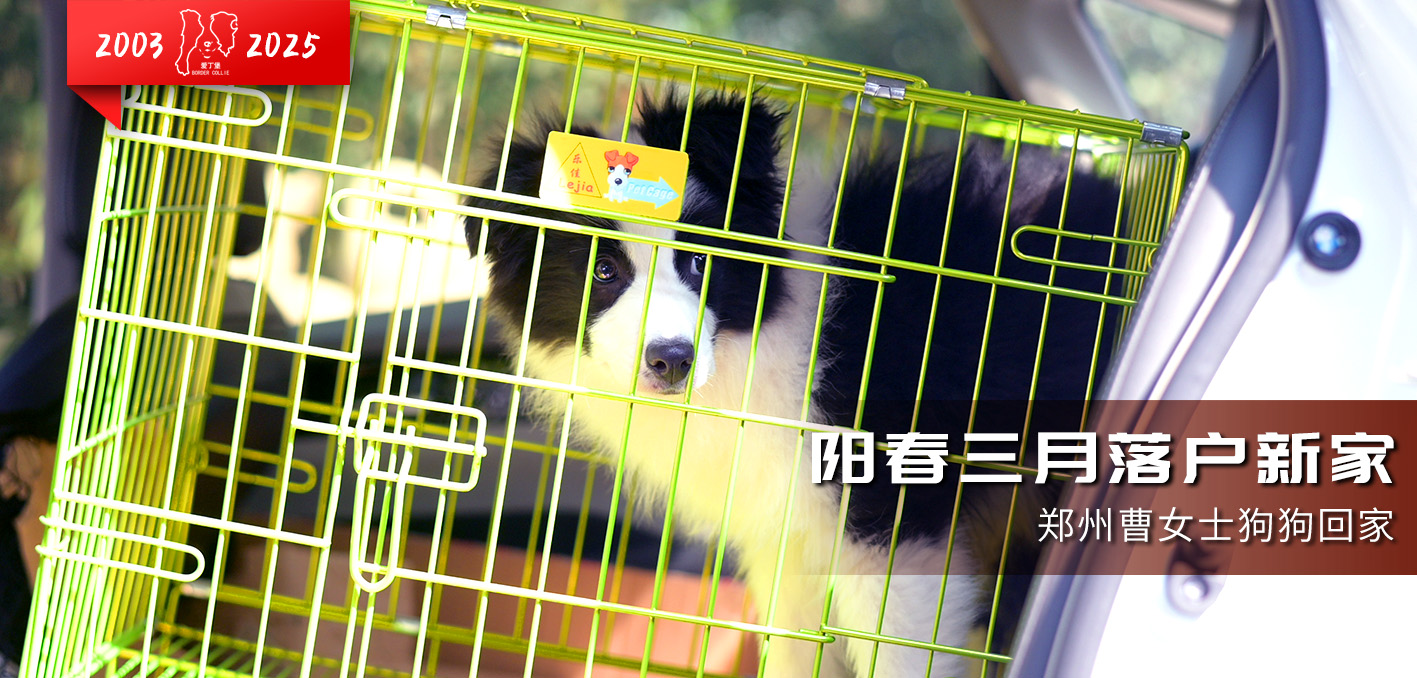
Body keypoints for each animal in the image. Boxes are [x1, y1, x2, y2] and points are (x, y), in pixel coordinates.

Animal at [464, 92, 1121, 677]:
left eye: (699, 261)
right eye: (603, 271)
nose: (671, 361)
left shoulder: (889, 520)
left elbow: (899, 650)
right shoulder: (785, 531)